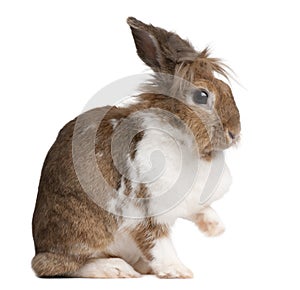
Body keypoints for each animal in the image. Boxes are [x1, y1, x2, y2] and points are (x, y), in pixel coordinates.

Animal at [31, 16, 240, 278]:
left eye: (226, 88)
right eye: (202, 96)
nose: (235, 132)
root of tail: (39, 247)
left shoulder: (190, 202)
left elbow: (201, 210)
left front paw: (215, 228)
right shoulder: (144, 210)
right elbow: (158, 243)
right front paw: (178, 271)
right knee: (61, 266)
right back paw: (116, 269)